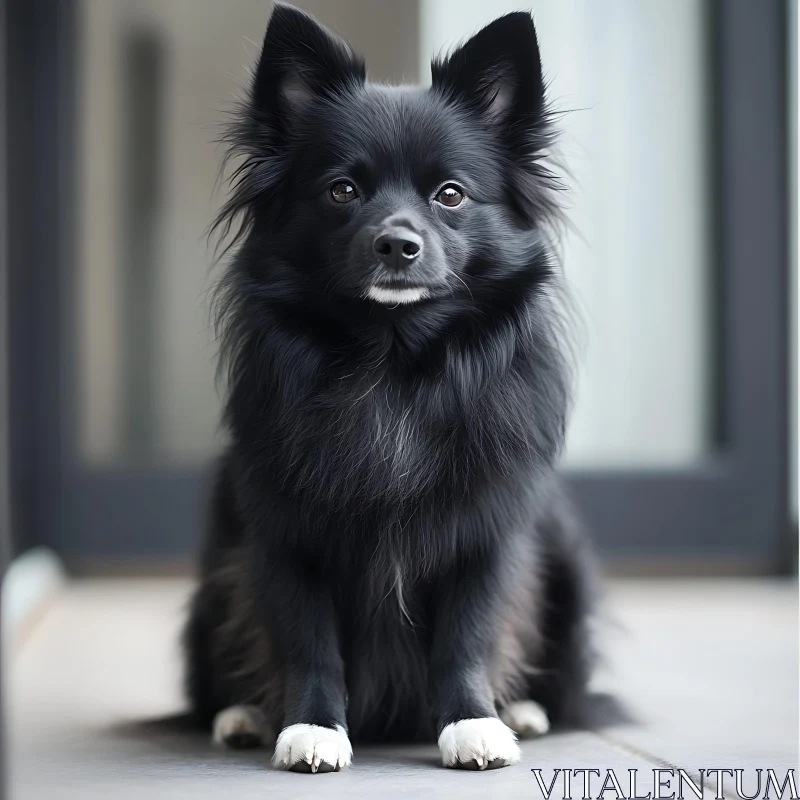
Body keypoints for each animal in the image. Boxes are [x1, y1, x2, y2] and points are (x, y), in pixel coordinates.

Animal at [186, 3, 600, 772]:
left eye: (451, 196)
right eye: (341, 190)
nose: (397, 245)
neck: (392, 362)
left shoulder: (485, 537)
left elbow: (468, 635)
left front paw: (473, 721)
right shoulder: (284, 536)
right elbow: (307, 639)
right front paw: (311, 727)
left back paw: (525, 710)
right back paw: (242, 714)